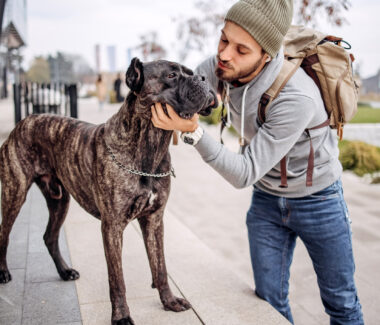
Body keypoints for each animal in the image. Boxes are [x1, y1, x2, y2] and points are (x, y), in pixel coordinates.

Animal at [0, 57, 218, 324]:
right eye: (171, 75)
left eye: (189, 72)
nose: (204, 78)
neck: (151, 145)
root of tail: (24, 121)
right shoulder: (112, 227)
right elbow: (117, 279)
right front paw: (121, 316)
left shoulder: (154, 220)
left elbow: (160, 266)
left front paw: (169, 301)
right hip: (15, 194)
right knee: (4, 233)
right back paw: (3, 272)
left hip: (60, 201)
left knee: (49, 236)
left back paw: (65, 271)